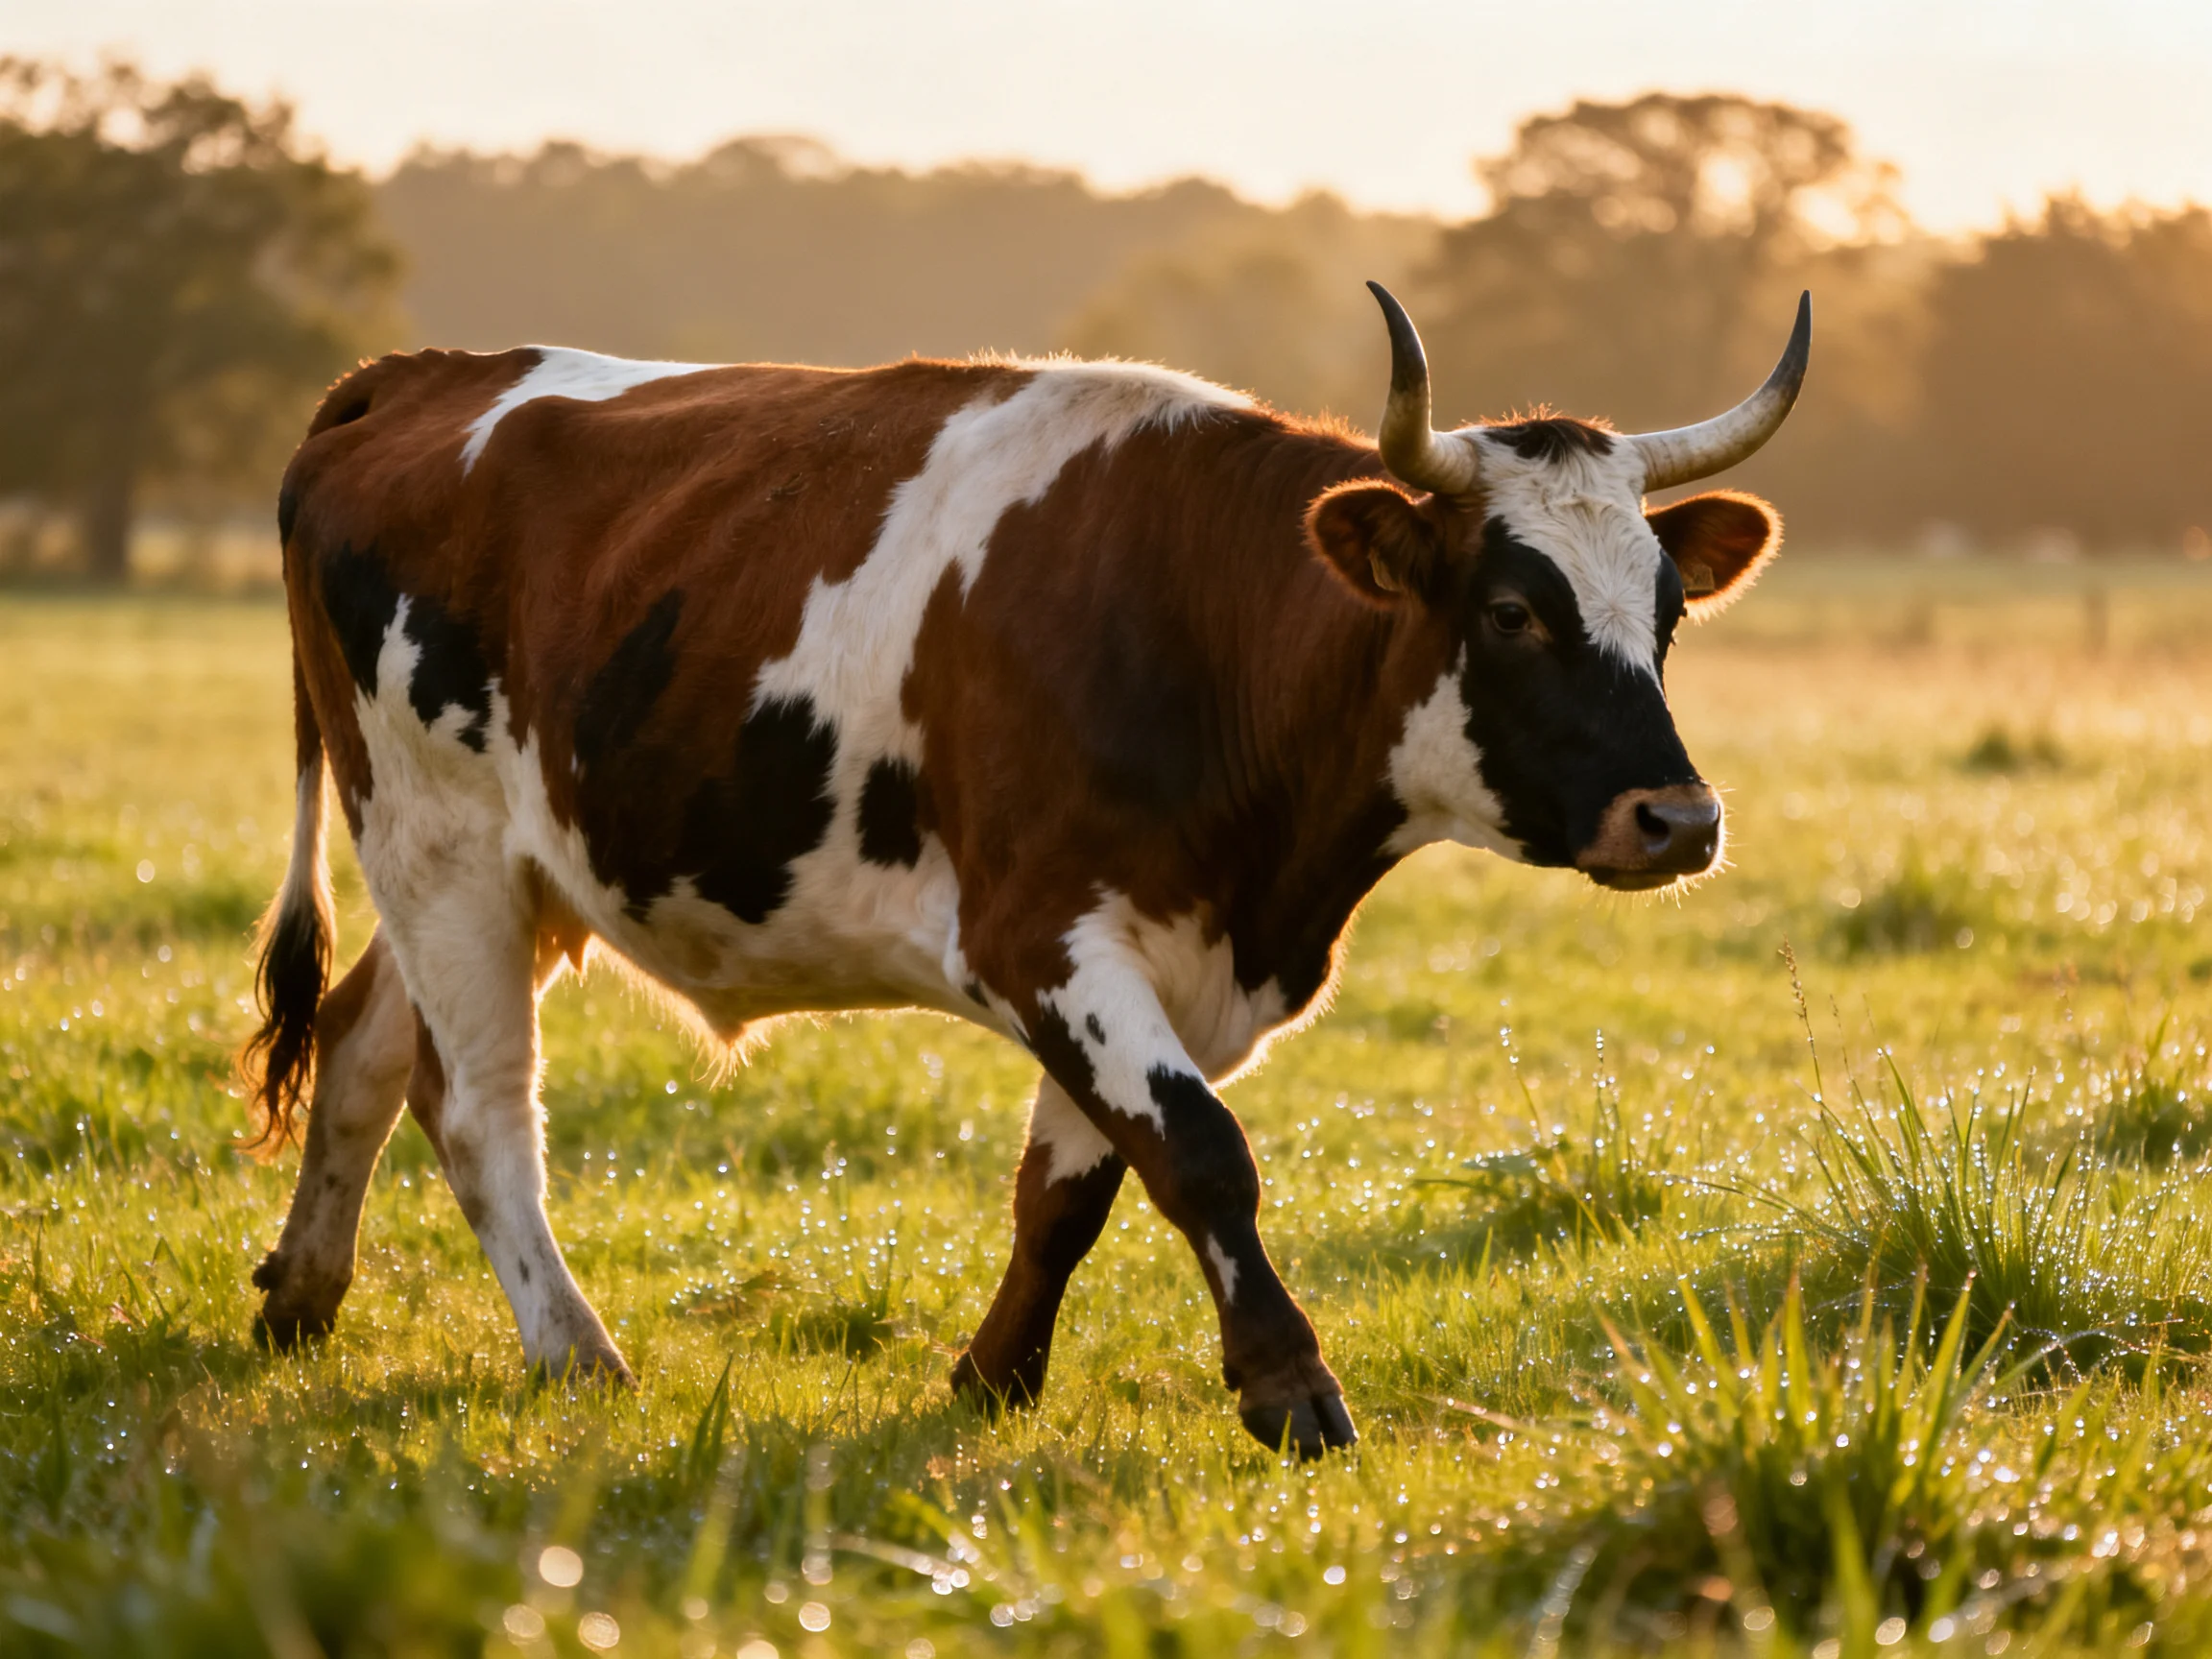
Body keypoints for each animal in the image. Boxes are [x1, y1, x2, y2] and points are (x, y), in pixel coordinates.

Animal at [241, 283, 1808, 1456]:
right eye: (1511, 611)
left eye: (1666, 610)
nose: (1677, 818)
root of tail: (421, 373)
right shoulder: (1042, 935)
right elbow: (1200, 1154)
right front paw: (1289, 1384)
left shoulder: (1161, 954)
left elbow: (1075, 1188)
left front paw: (992, 1376)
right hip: (437, 840)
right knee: (480, 1107)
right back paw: (572, 1349)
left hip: (514, 866)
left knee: (365, 1045)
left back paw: (301, 1300)